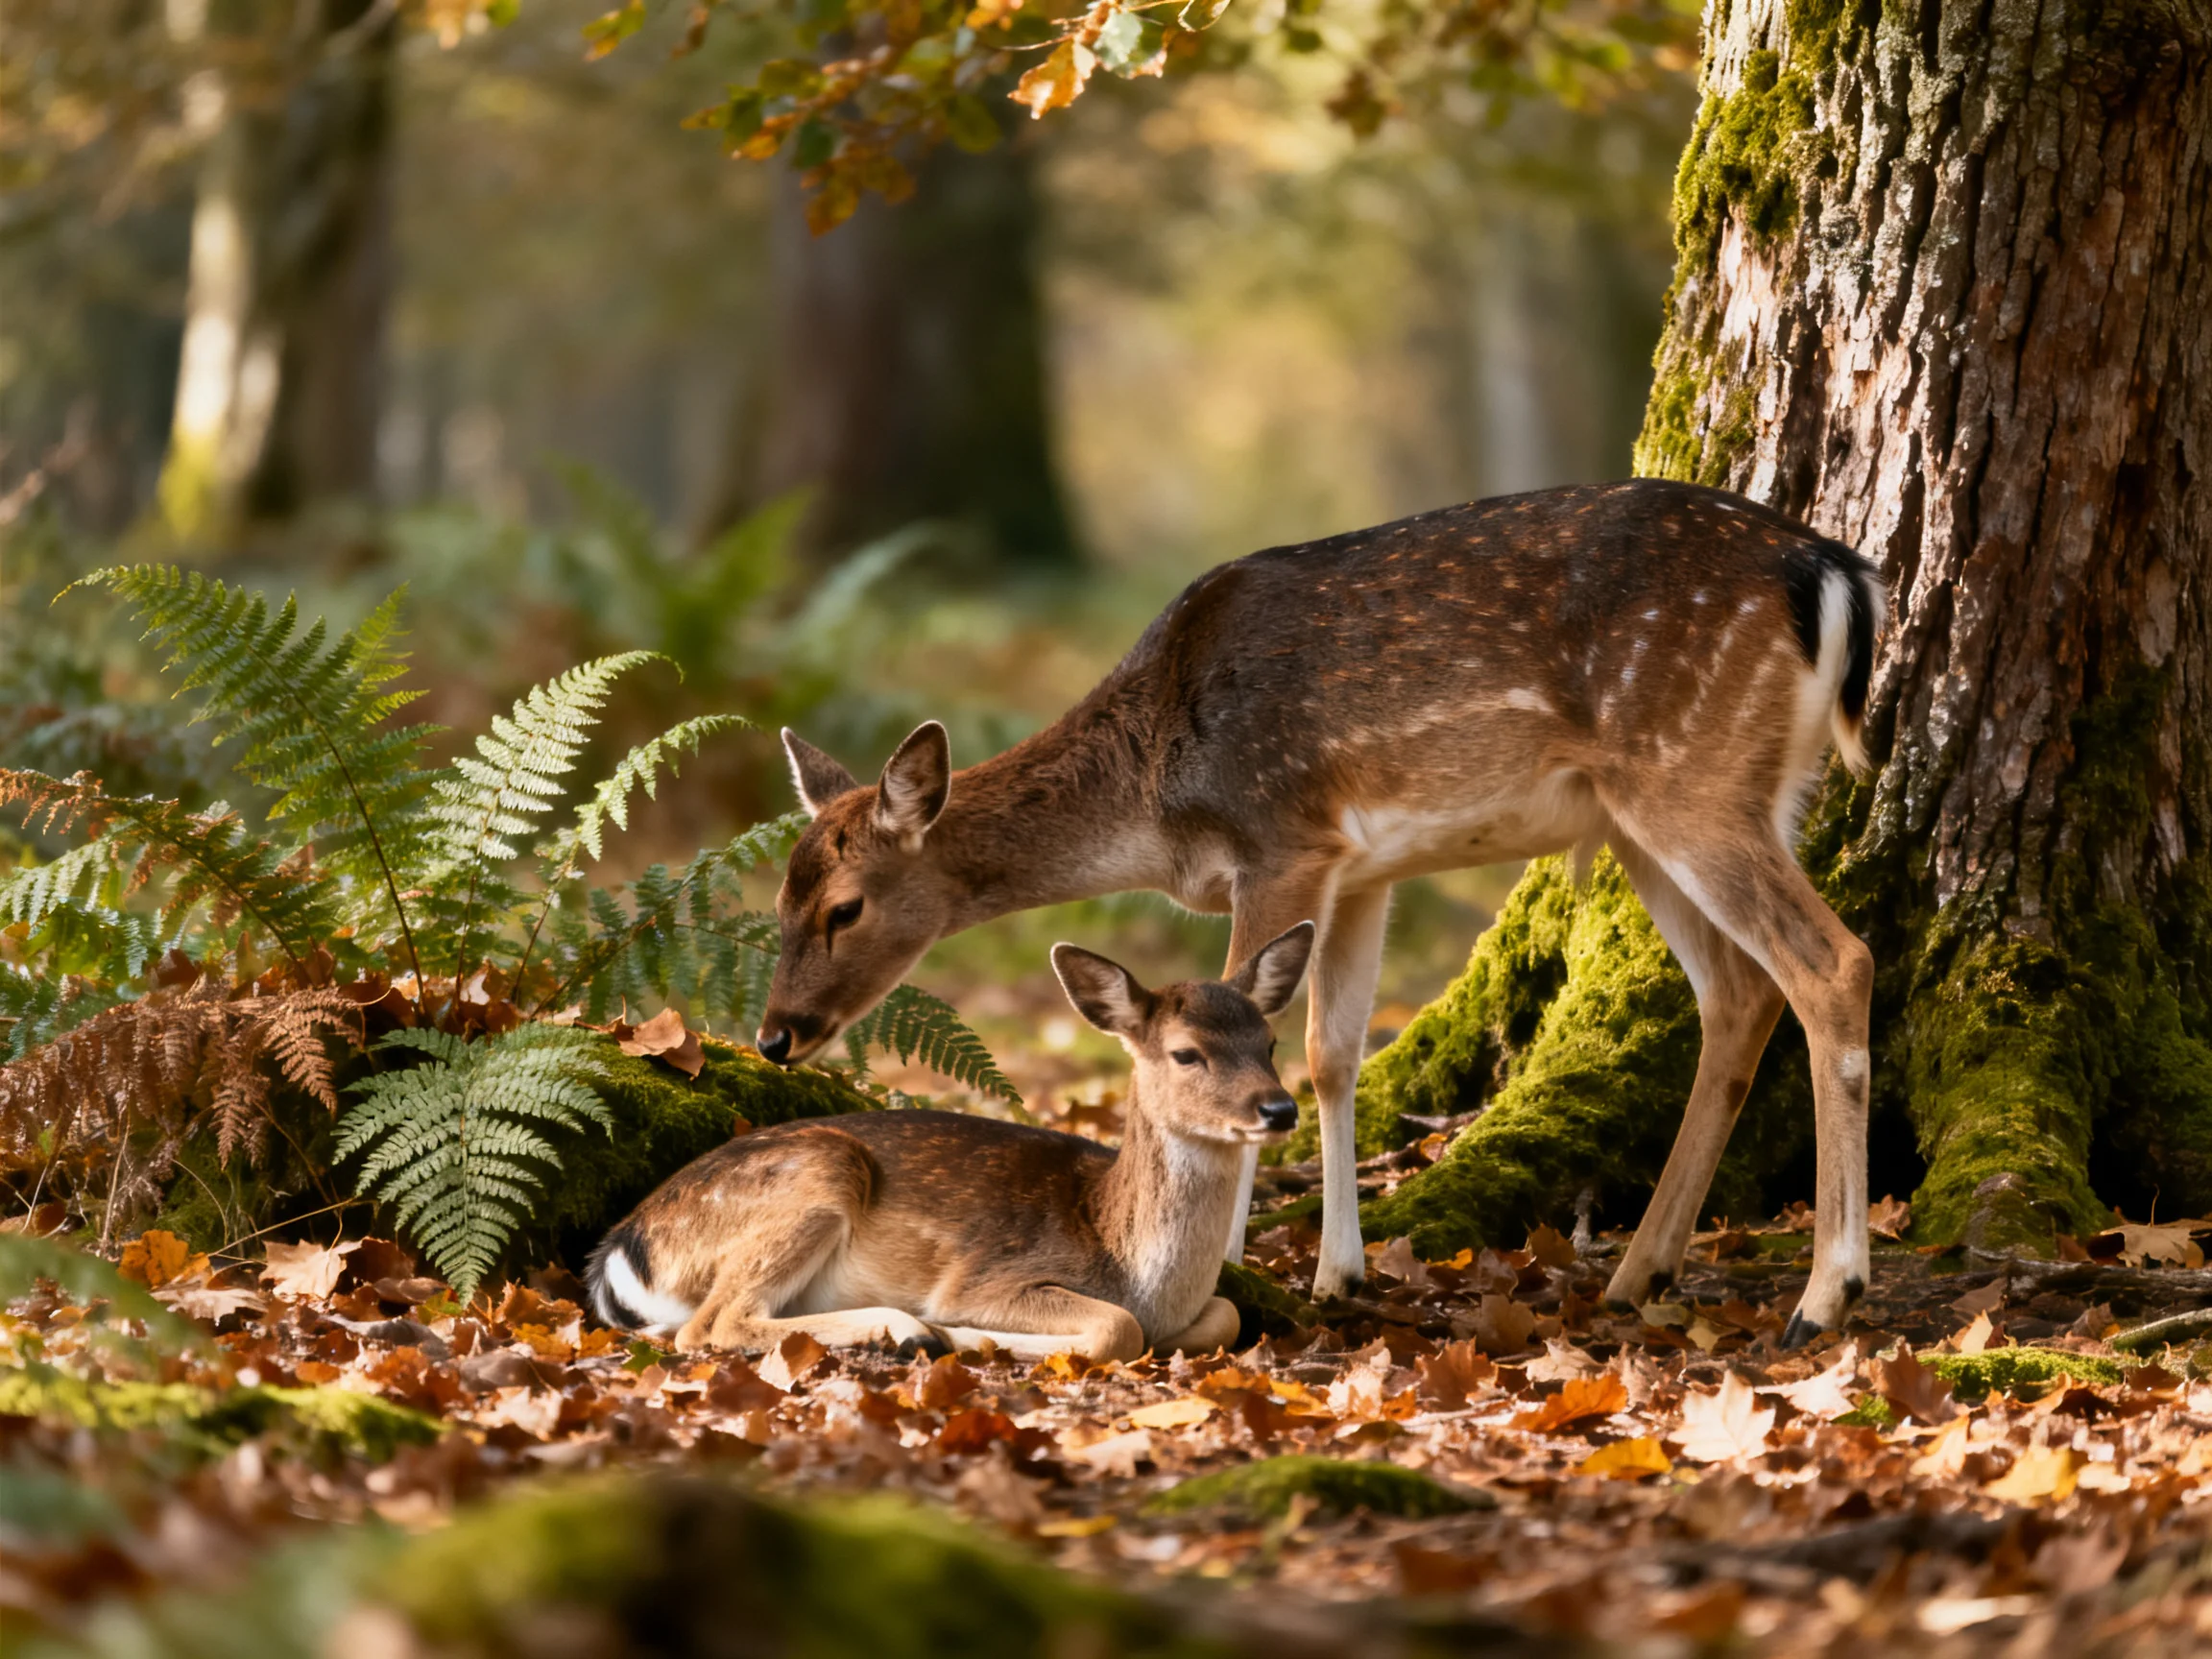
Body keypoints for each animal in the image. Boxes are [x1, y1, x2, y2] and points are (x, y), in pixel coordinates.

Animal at [587, 924, 1314, 1357]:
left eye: (1271, 1043)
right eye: (1187, 1053)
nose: (1280, 1109)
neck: (1131, 1264)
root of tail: (619, 1250)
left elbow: (1227, 1312)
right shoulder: (989, 1276)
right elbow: (1116, 1326)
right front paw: (959, 1332)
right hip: (818, 1173)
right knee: (710, 1325)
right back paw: (908, 1329)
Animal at [753, 479, 1887, 1348]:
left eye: (846, 908)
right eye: (779, 897)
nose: (775, 1035)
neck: (1159, 795)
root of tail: (1832, 570)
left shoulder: (1281, 839)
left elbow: (1253, 1019)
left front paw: (1236, 1260)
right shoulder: (1362, 866)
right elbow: (1331, 1050)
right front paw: (1338, 1270)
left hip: (1690, 770)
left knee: (1833, 962)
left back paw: (1826, 1295)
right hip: (1652, 813)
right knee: (1739, 992)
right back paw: (1639, 1270)